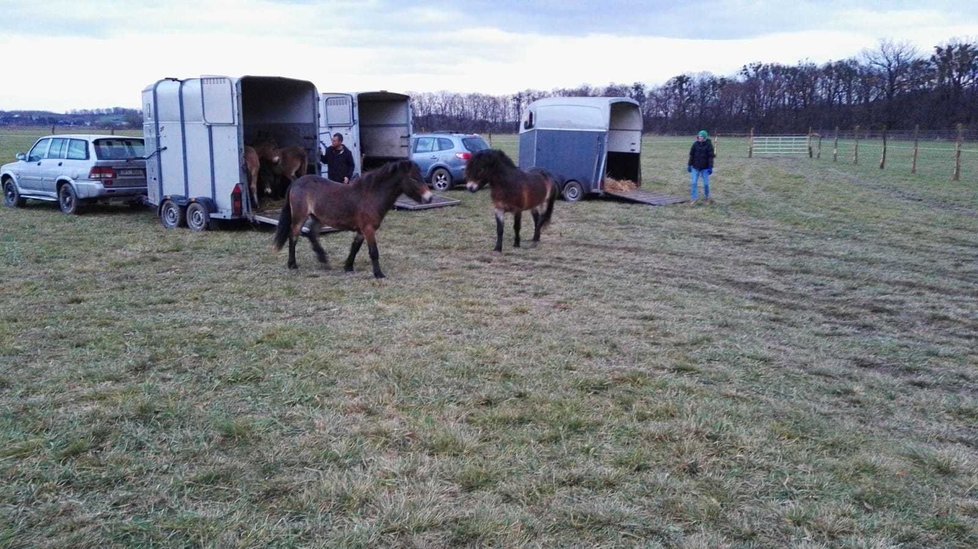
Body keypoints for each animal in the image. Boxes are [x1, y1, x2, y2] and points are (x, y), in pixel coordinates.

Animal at [270, 159, 430, 278]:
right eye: (413, 178)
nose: (429, 198)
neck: (371, 195)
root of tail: (296, 183)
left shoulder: (362, 230)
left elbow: (355, 247)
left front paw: (348, 266)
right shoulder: (368, 229)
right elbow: (374, 252)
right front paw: (378, 274)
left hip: (318, 217)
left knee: (311, 234)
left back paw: (323, 260)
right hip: (299, 217)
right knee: (293, 236)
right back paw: (292, 264)